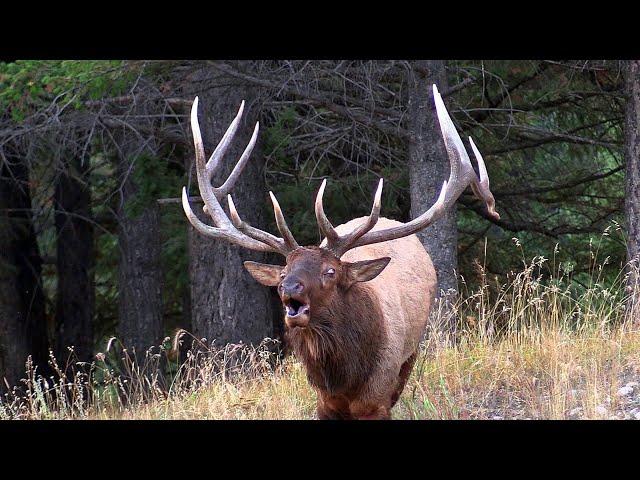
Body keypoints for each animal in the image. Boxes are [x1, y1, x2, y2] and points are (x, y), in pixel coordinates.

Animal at [180, 86, 500, 420]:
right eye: (283, 272)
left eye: (330, 271)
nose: (289, 287)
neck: (345, 377)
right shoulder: (324, 403)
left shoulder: (378, 399)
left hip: (411, 353)